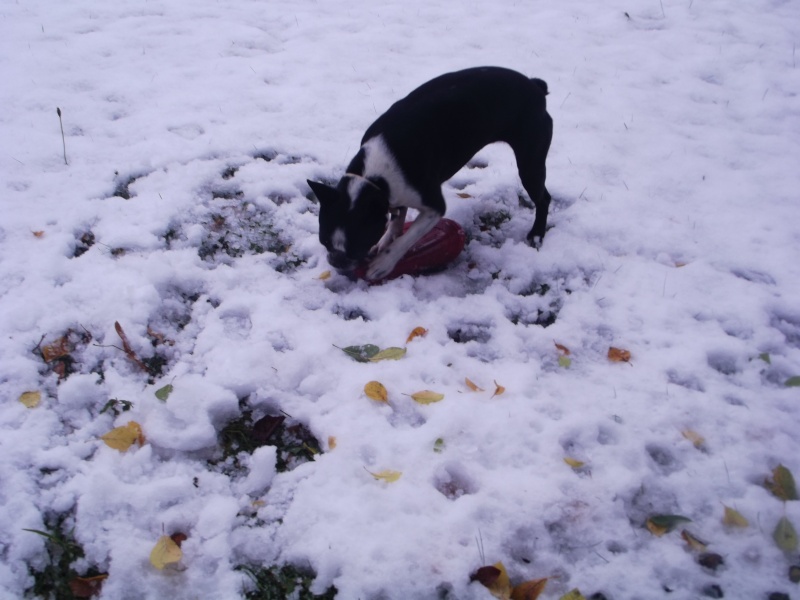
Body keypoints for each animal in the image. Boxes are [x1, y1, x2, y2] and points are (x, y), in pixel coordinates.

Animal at [306, 65, 552, 282]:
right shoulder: (395, 192)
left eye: (356, 247)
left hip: (530, 163)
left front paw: (384, 263)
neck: (375, 177)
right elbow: (397, 219)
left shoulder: (433, 207)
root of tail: (535, 86)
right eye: (324, 242)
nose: (336, 261)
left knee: (543, 198)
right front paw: (385, 240)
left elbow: (408, 237)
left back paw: (537, 234)